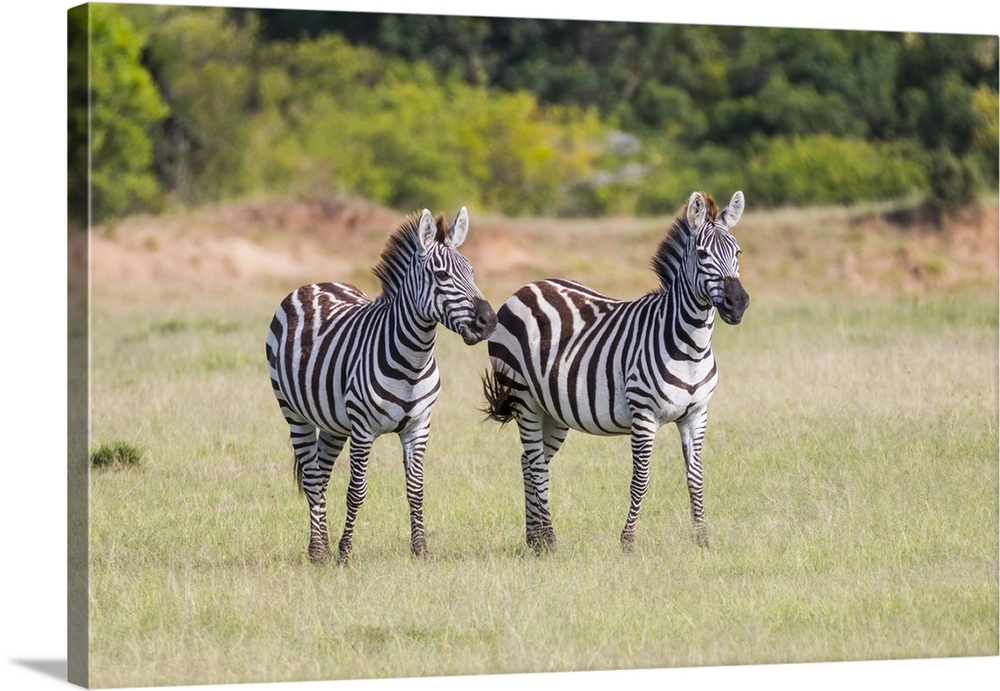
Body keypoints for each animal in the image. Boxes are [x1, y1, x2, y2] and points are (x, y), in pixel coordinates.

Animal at [268, 208, 498, 564]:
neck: (413, 361)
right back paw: (319, 551)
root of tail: (315, 284)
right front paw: (345, 553)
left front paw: (421, 550)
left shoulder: (419, 426)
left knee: (321, 474)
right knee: (311, 476)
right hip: (294, 413)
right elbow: (356, 492)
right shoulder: (363, 429)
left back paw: (321, 545)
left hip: (334, 423)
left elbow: (416, 489)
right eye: (442, 276)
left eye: (471, 272)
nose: (489, 321)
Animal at [480, 192, 748, 556]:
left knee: (529, 462)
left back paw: (534, 540)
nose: (738, 303)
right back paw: (548, 540)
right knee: (535, 463)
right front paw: (628, 541)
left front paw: (703, 540)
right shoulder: (644, 415)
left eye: (737, 252)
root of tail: (527, 287)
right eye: (703, 254)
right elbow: (641, 480)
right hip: (524, 400)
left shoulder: (697, 415)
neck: (691, 345)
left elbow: (695, 477)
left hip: (554, 410)